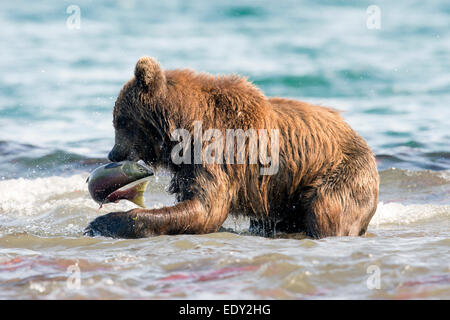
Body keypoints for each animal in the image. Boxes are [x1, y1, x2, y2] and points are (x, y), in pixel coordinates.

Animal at [84, 56, 380, 239]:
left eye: (120, 120)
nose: (113, 153)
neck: (182, 128)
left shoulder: (214, 152)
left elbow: (206, 208)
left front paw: (102, 223)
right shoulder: (190, 167)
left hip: (340, 174)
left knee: (327, 211)